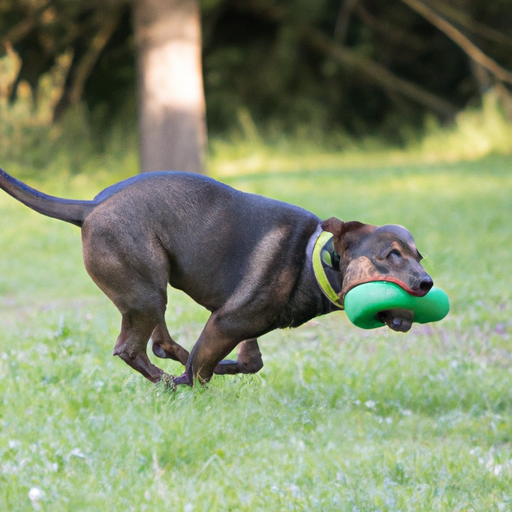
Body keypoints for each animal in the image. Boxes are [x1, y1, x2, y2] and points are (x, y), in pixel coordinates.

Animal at [0, 170, 432, 386]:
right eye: (391, 256)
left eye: (419, 256)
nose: (427, 283)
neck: (313, 259)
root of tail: (88, 208)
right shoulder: (226, 322)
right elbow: (204, 367)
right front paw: (195, 383)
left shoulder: (239, 327)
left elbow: (247, 362)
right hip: (145, 294)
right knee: (132, 350)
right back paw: (167, 384)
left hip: (151, 291)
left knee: (160, 344)